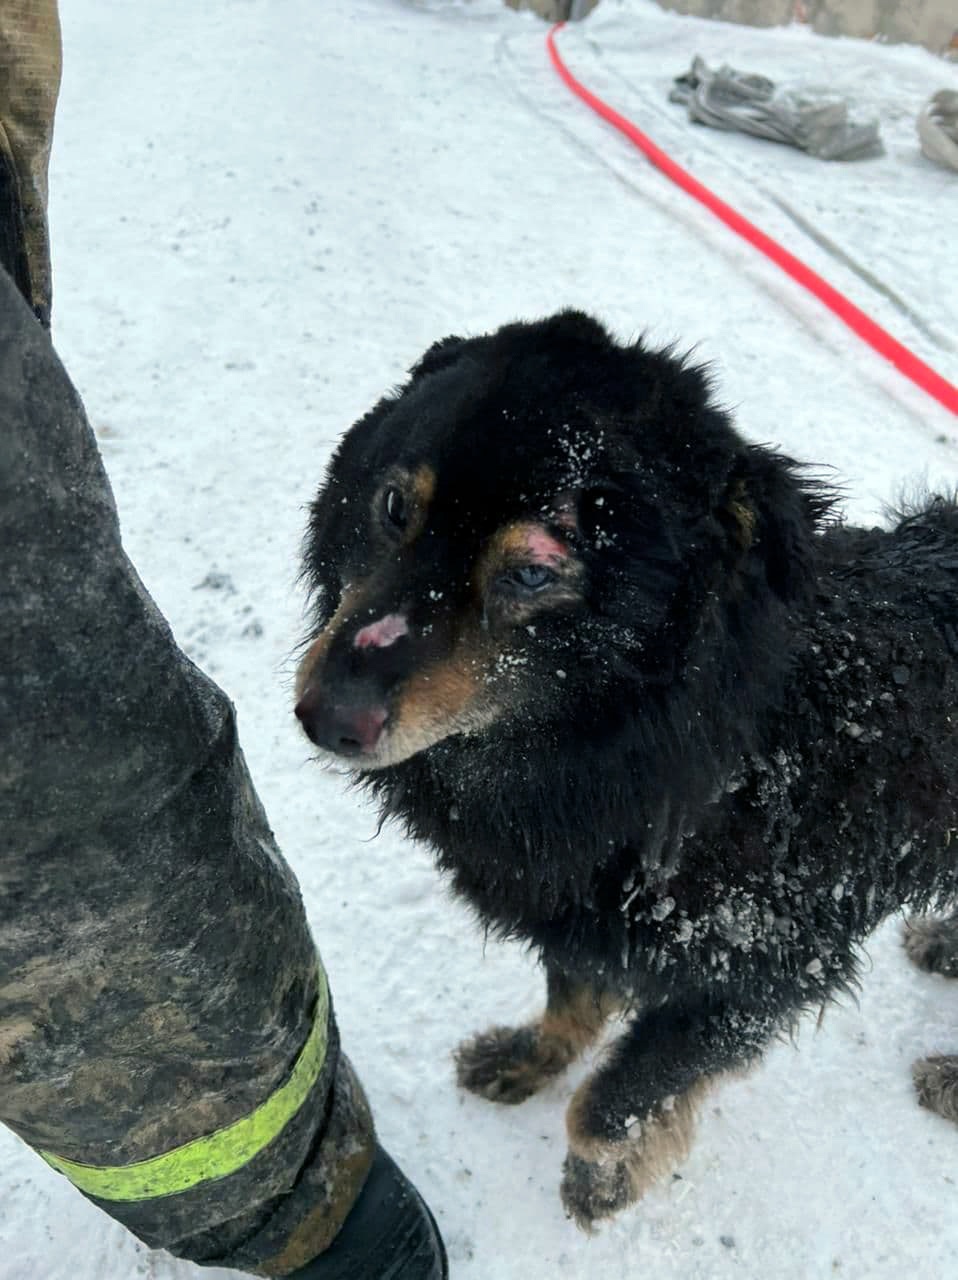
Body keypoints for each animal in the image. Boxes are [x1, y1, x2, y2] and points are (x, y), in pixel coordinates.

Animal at [295, 312, 957, 1228]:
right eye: (395, 506)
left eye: (532, 571)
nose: (328, 716)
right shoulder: (578, 910)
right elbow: (570, 999)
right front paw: (529, 1058)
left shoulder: (762, 970)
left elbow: (614, 1102)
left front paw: (602, 1179)